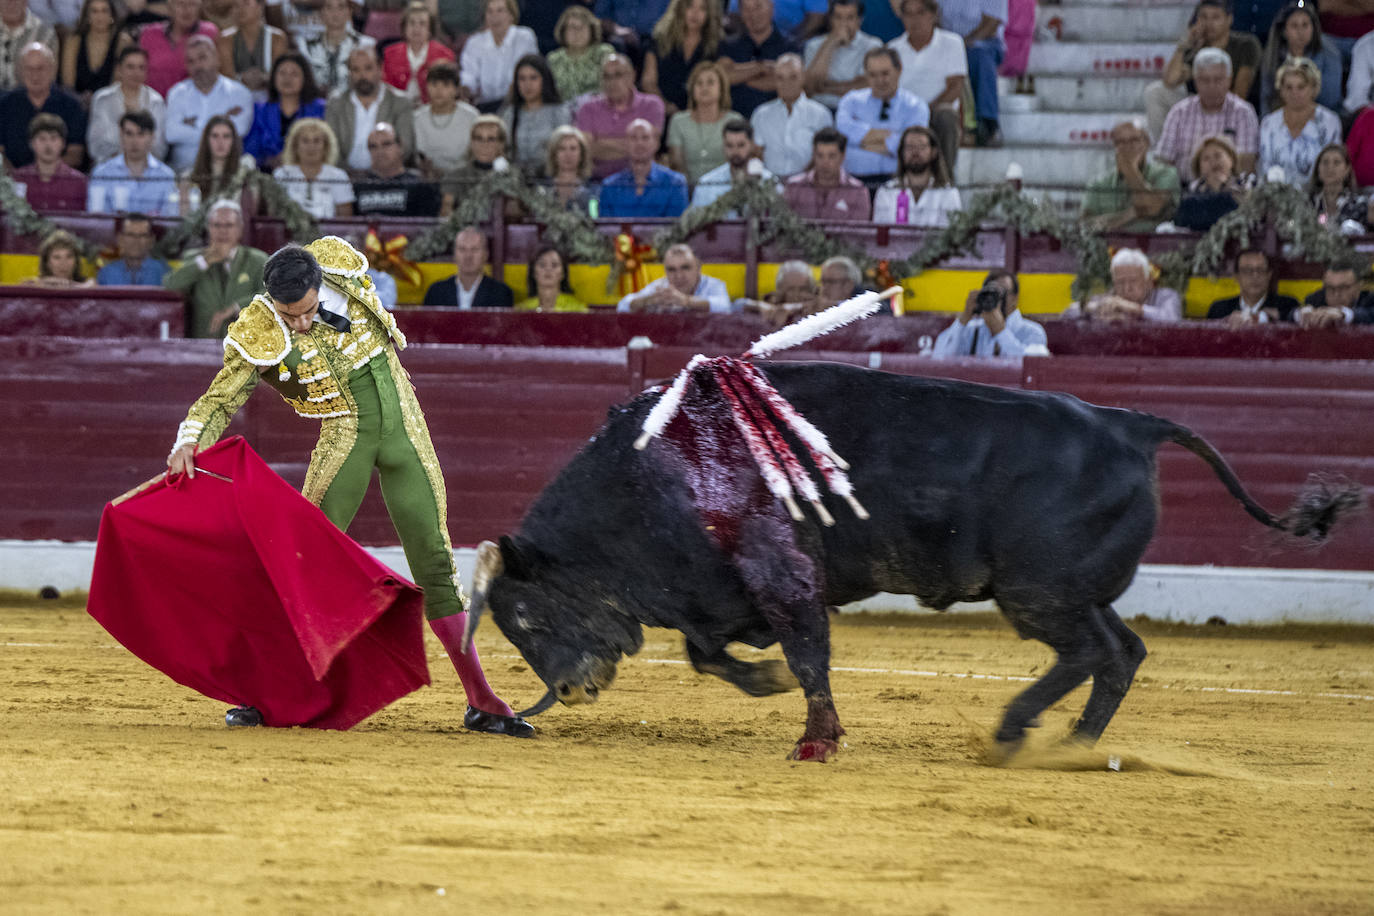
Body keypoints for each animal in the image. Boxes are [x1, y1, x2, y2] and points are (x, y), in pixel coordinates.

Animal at [464, 362, 1363, 763]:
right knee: (1122, 651)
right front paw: (767, 684)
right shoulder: (717, 594)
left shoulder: (785, 579)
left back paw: (1016, 731)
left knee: (1092, 650)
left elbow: (805, 654)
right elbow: (711, 652)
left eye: (526, 617)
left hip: (1037, 593)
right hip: (1066, 591)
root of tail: (1129, 423)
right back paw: (1073, 742)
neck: (647, 475)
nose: (569, 692)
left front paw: (815, 740)